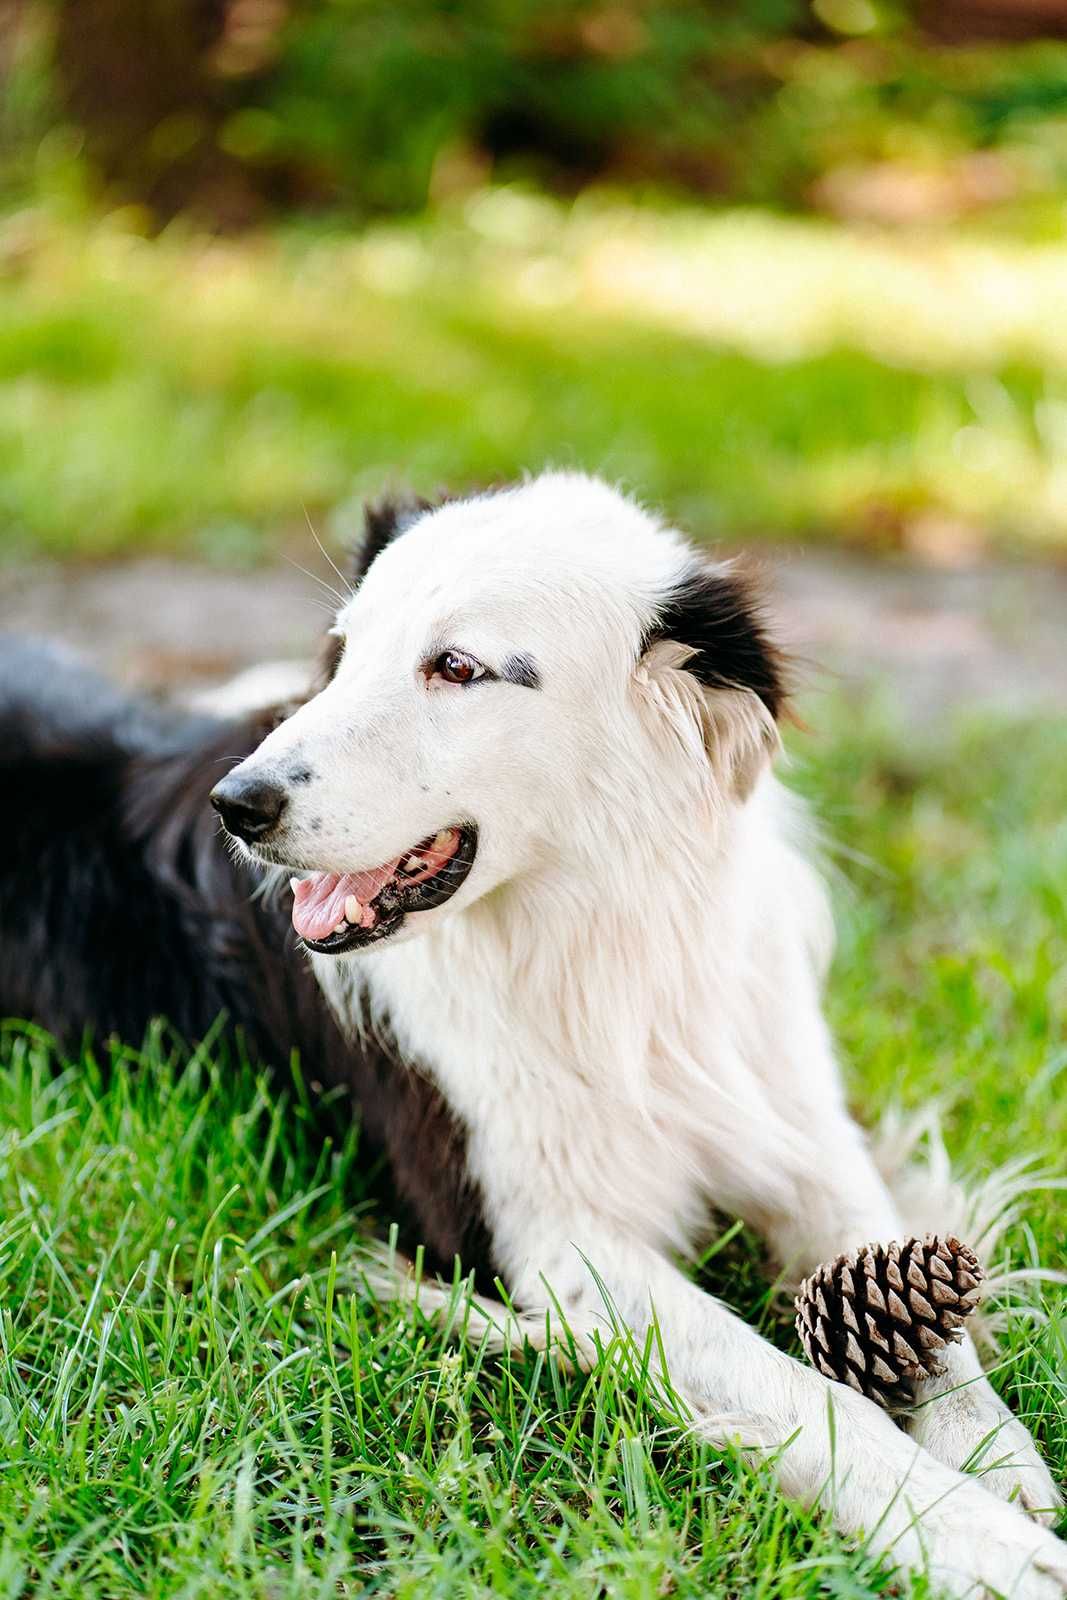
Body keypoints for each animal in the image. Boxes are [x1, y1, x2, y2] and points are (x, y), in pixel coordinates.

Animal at [0, 476, 1062, 1600]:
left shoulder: (795, 1122)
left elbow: (923, 1309)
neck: (597, 932)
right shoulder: (544, 1238)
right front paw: (976, 1536)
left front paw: (1000, 1460)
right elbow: (797, 1392)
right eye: (344, 653)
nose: (237, 805)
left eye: (457, 668)